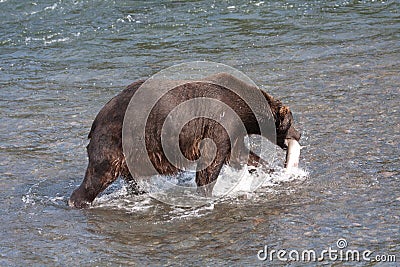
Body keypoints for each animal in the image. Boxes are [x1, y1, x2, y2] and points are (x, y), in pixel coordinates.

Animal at [69, 73, 300, 209]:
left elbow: (240, 155)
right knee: (99, 173)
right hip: (116, 139)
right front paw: (208, 193)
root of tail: (97, 119)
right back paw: (78, 201)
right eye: (291, 121)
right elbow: (211, 163)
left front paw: (271, 171)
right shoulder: (219, 122)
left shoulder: (234, 132)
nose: (299, 134)